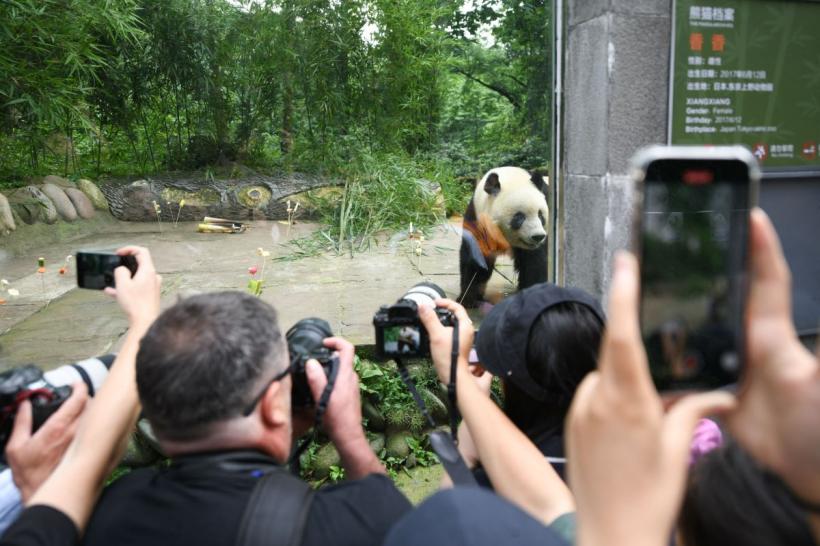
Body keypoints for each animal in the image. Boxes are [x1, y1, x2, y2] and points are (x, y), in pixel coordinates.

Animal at [458, 164, 548, 308]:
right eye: (519, 217)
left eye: (540, 215)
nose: (538, 236)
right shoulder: (477, 218)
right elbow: (475, 259)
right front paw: (468, 299)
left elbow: (535, 262)